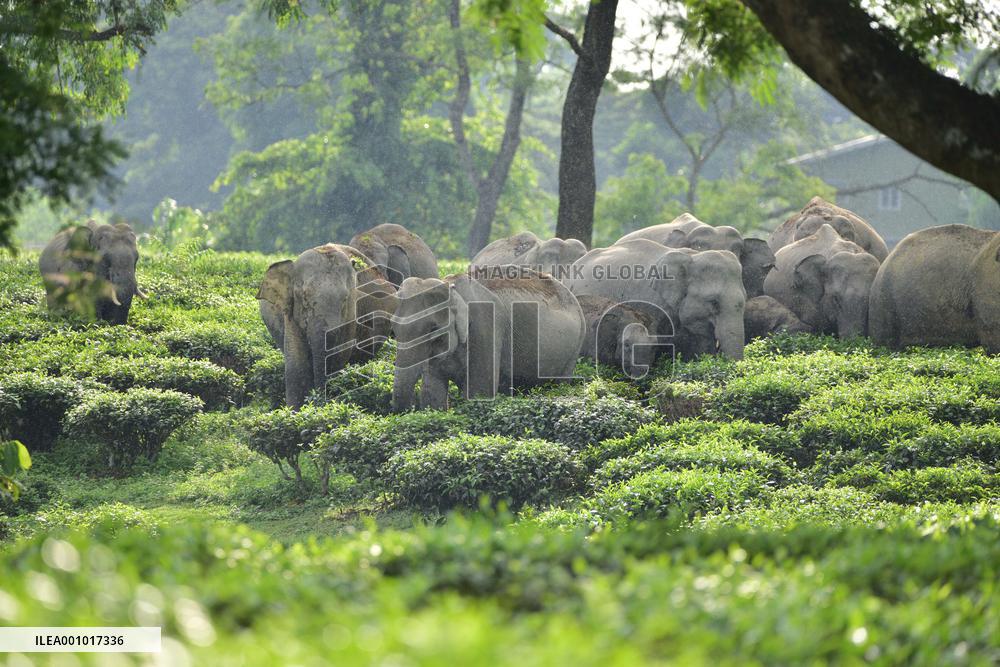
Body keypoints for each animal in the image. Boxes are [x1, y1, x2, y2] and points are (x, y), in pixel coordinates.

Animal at [257, 244, 360, 408]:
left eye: (345, 299)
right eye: (304, 297)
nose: (319, 401)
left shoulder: (351, 315)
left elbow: (340, 356)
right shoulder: (290, 313)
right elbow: (297, 364)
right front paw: (295, 411)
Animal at [390, 267, 586, 411]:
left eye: (433, 328)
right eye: (394, 329)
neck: (451, 286)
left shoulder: (486, 326)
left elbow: (480, 390)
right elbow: (432, 392)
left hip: (574, 349)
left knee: (559, 383)